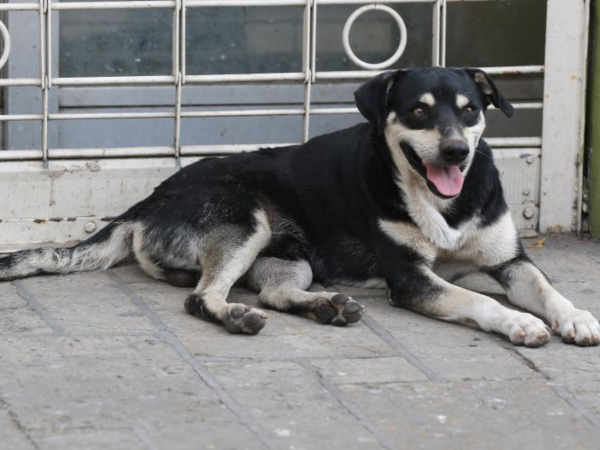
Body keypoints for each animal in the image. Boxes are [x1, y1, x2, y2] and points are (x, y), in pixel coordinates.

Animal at [0, 68, 596, 346]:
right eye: (418, 112)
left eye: (470, 110)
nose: (456, 152)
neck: (441, 204)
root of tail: (144, 203)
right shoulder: (411, 280)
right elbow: (481, 301)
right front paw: (519, 323)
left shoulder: (512, 259)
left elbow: (547, 290)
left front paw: (575, 317)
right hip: (245, 222)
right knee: (201, 298)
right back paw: (237, 316)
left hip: (291, 256)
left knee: (276, 290)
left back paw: (325, 307)